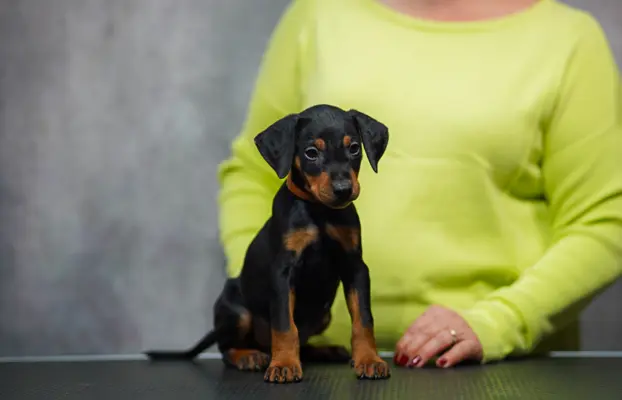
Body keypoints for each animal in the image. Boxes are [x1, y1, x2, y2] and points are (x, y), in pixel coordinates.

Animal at [145, 104, 390, 384]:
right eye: (311, 152)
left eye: (355, 148)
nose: (343, 189)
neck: (318, 212)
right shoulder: (283, 272)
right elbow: (284, 325)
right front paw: (283, 364)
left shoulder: (355, 267)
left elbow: (363, 319)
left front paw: (369, 360)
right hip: (238, 312)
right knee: (227, 347)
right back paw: (249, 356)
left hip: (322, 315)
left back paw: (325, 351)